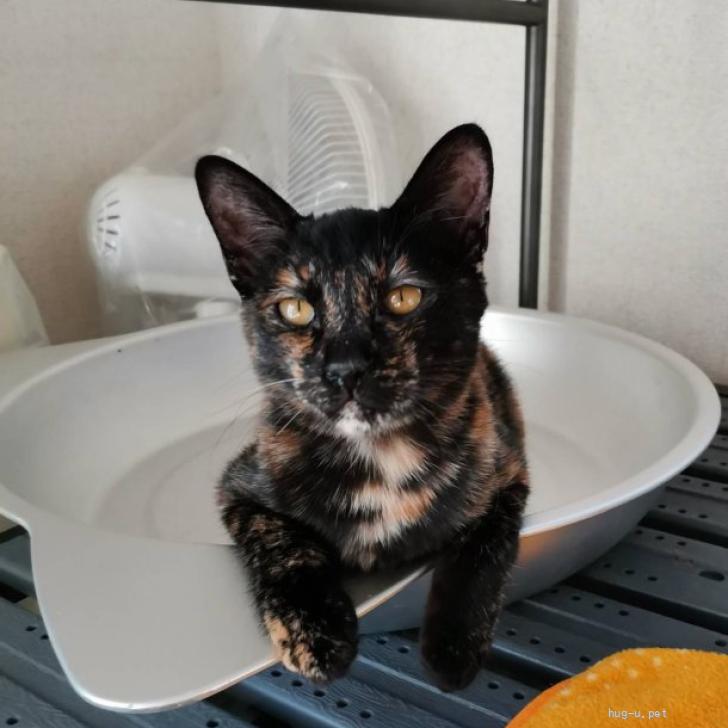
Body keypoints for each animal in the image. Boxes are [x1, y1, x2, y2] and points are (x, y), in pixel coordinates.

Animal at [194, 123, 529, 692]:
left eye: (404, 298)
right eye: (296, 308)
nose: (345, 368)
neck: (380, 455)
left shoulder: (508, 472)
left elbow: (482, 548)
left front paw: (452, 650)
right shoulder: (238, 487)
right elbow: (279, 539)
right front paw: (315, 633)